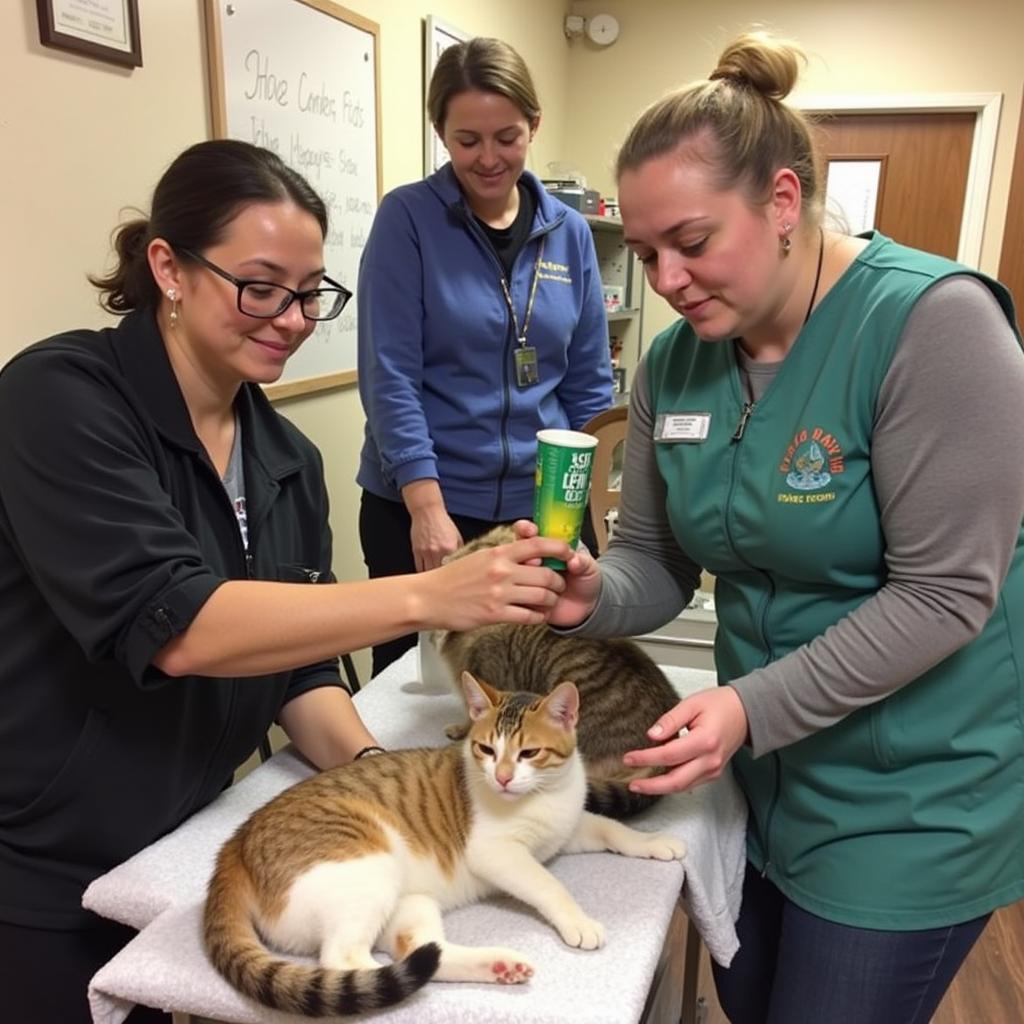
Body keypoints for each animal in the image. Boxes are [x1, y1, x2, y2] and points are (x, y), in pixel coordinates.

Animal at [202, 671, 684, 1015]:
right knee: (344, 962)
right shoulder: (500, 854)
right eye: (486, 749)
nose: (502, 778)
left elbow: (610, 829)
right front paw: (578, 920)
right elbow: (549, 885)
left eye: (529, 753)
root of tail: (234, 847)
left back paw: (498, 966)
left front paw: (654, 841)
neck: (544, 795)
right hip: (366, 872)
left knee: (424, 953)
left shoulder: (567, 829)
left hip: (408, 904)